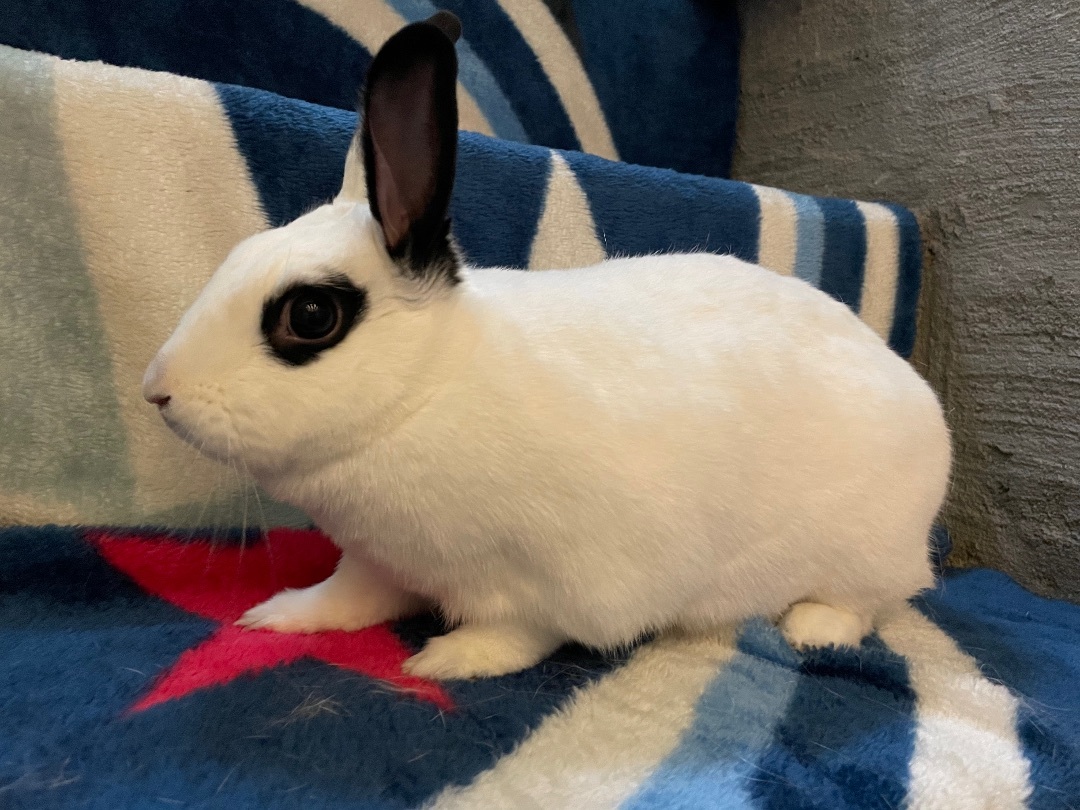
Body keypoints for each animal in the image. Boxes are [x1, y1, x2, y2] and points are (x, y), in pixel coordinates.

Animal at [142, 11, 952, 680]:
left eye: (310, 315)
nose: (157, 392)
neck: (422, 394)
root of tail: (920, 401)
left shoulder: (561, 582)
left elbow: (516, 634)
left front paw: (445, 661)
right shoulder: (377, 561)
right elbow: (347, 599)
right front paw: (278, 615)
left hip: (864, 551)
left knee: (870, 601)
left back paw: (811, 628)